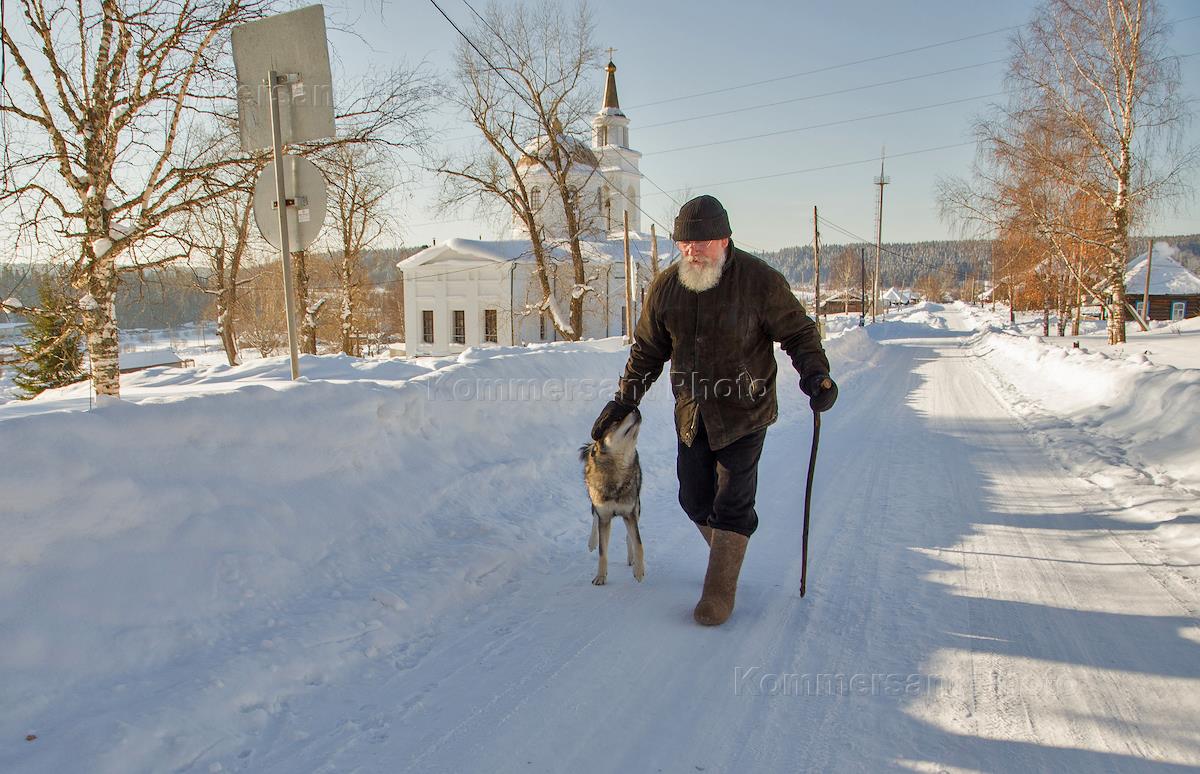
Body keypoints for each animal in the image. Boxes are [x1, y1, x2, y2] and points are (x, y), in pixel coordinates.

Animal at [576, 408, 643, 583]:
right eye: (617, 420)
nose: (636, 409)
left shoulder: (629, 513)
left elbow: (638, 543)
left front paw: (639, 571)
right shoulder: (604, 516)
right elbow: (602, 551)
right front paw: (600, 577)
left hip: (637, 507)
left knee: (629, 536)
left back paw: (631, 559)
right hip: (595, 501)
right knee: (594, 518)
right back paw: (592, 542)